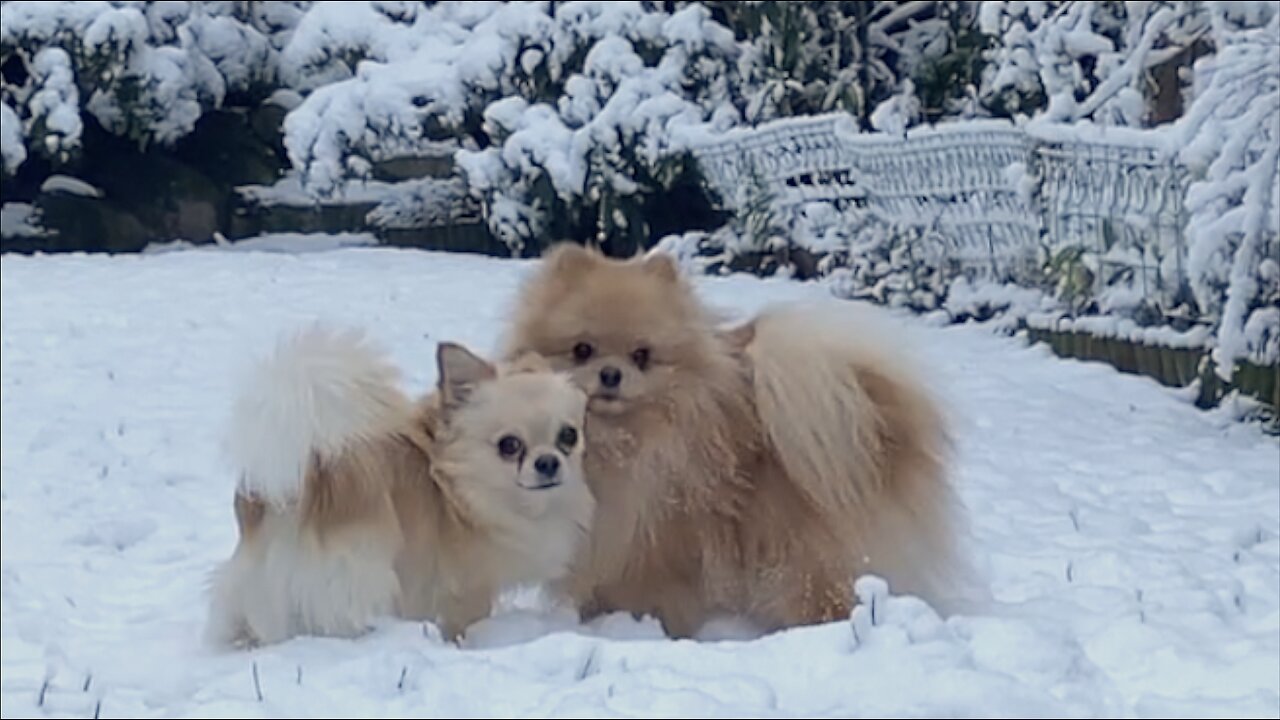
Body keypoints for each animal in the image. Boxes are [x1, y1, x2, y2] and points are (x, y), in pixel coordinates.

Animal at [204, 326, 593, 645]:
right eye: (509, 445)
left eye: (569, 436)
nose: (548, 462)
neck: (459, 479)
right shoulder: (465, 586)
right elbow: (462, 622)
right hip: (359, 575)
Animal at [499, 243, 967, 635]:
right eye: (582, 349)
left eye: (642, 356)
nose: (611, 374)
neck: (618, 441)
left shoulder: (652, 543)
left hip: (801, 555)